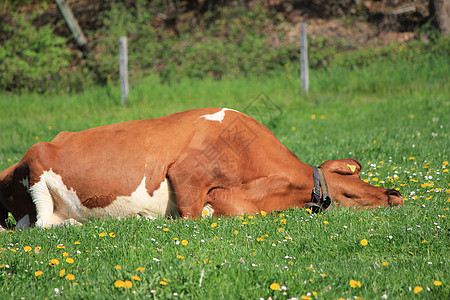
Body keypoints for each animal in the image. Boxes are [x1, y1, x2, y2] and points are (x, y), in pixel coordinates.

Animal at [0, 107, 402, 230]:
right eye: (349, 193)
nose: (395, 195)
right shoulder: (187, 175)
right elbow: (192, 215)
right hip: (37, 162)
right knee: (42, 223)